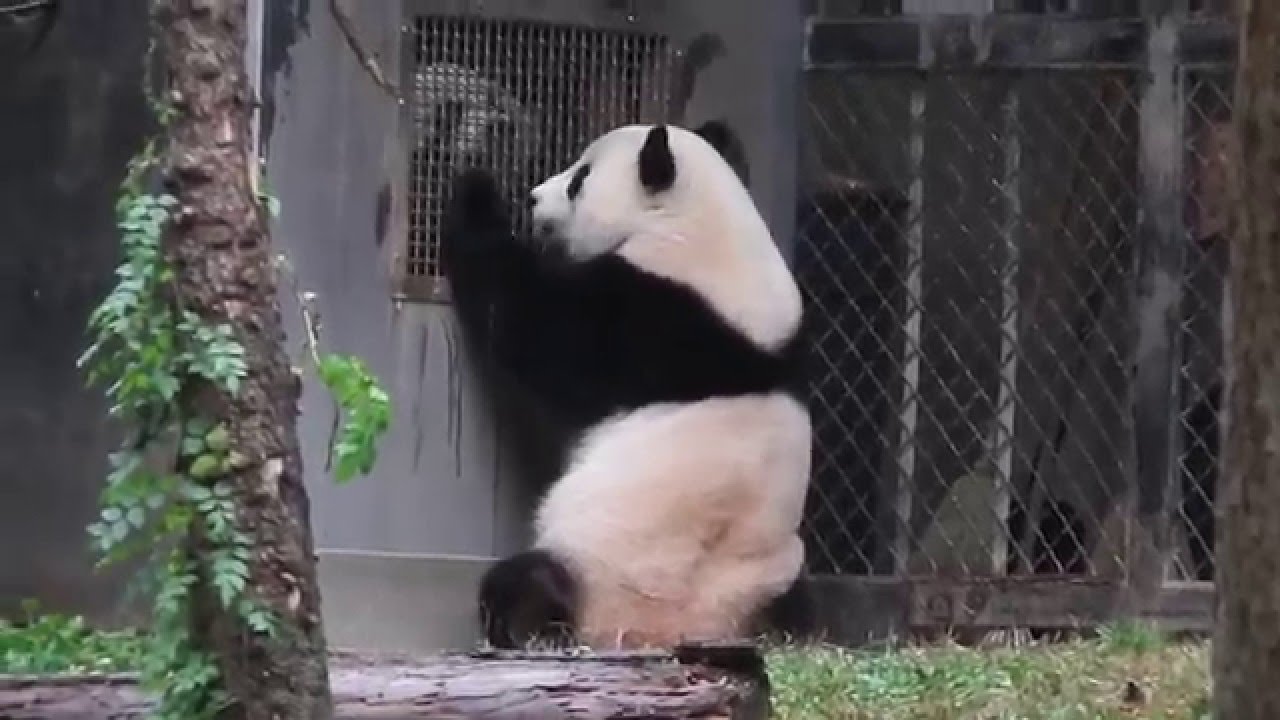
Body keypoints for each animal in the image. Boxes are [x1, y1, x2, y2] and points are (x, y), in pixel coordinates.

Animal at [441, 120, 815, 650]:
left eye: (580, 178)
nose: (533, 198)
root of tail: (658, 634)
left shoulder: (647, 320)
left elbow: (529, 320)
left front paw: (475, 190)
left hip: (595, 565)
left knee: (526, 581)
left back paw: (522, 623)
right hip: (770, 579)